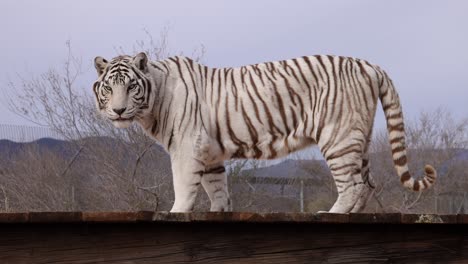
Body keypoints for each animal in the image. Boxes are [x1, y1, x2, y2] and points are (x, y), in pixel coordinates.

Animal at [91, 52, 436, 212]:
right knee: (367, 184)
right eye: (109, 87)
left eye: (131, 86)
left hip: (338, 138)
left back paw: (331, 213)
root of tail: (369, 65)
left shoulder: (187, 148)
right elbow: (217, 190)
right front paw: (219, 212)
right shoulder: (210, 154)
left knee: (352, 184)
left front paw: (176, 212)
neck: (155, 100)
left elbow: (184, 187)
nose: (118, 111)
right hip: (358, 140)